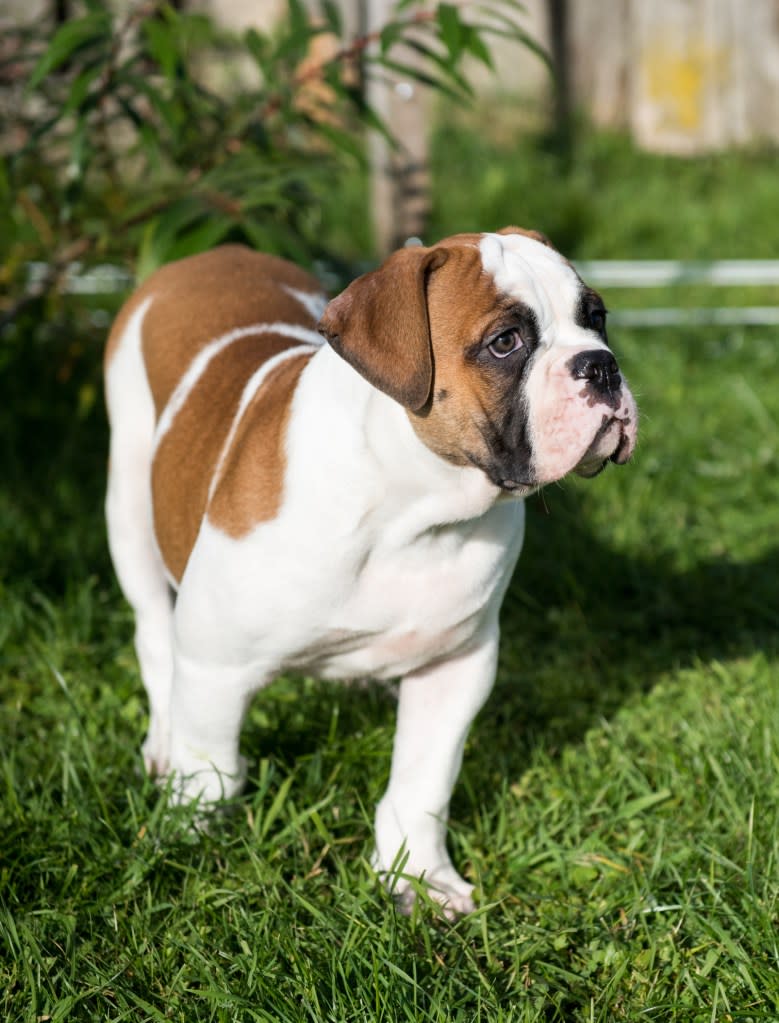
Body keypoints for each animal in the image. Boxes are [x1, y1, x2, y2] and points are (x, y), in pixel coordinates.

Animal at [104, 228, 638, 916]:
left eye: (595, 319)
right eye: (505, 343)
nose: (602, 365)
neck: (413, 507)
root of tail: (214, 254)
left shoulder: (455, 669)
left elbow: (422, 783)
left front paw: (420, 878)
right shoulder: (214, 664)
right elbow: (212, 771)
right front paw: (184, 846)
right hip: (130, 508)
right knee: (152, 632)